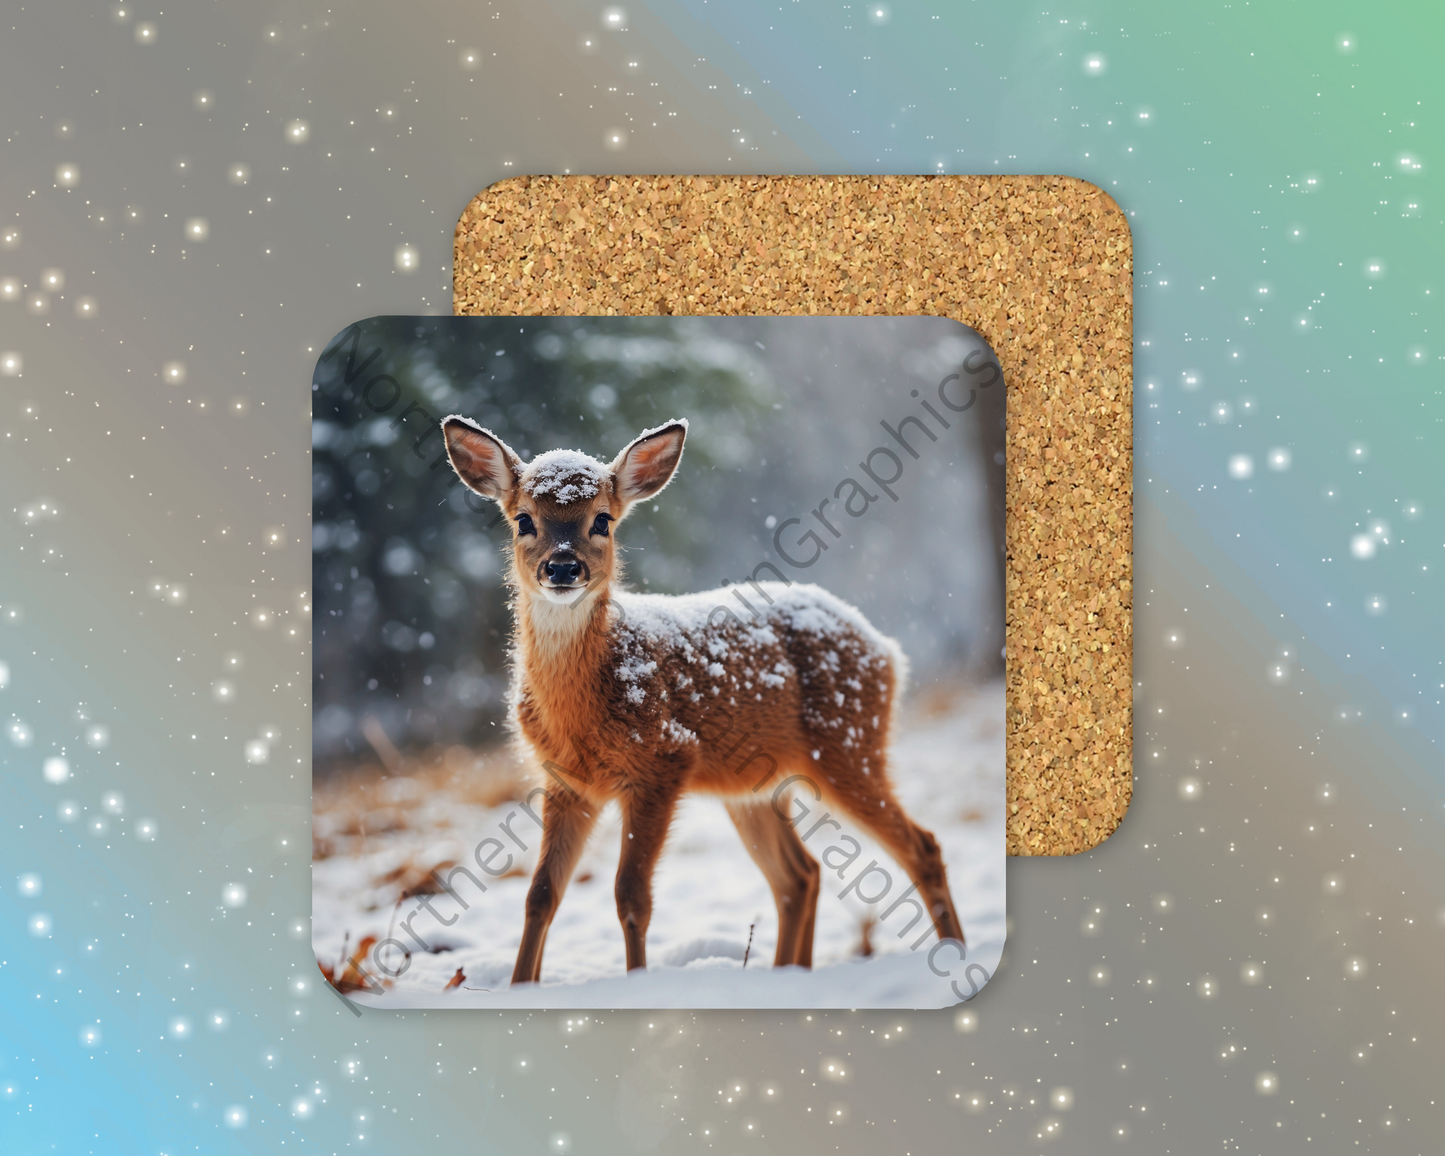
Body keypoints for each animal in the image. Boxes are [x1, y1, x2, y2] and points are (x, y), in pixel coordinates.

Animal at [441, 414, 964, 985]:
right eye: (523, 520)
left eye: (602, 520)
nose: (562, 568)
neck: (582, 712)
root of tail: (887, 649)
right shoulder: (564, 781)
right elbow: (540, 896)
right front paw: (520, 987)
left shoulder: (665, 759)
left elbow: (632, 896)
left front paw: (637, 983)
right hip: (757, 785)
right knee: (800, 875)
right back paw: (788, 974)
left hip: (849, 744)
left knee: (922, 846)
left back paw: (957, 957)